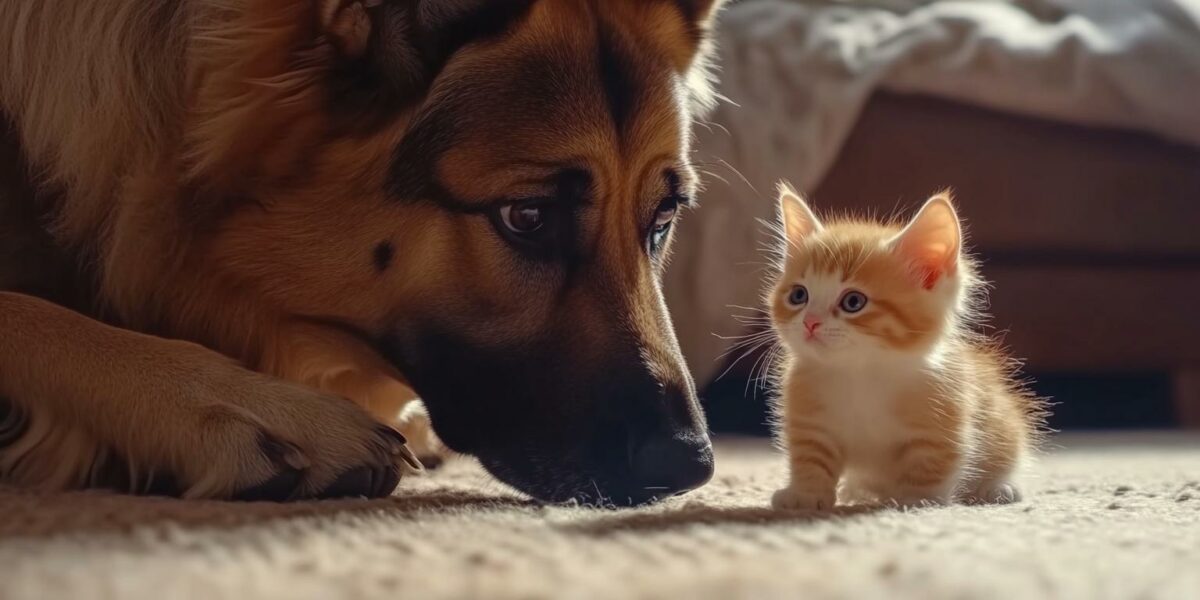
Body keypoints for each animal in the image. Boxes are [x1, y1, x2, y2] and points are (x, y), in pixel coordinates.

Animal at [768, 183, 1041, 511]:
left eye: (853, 302)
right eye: (799, 295)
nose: (810, 322)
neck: (860, 373)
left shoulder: (942, 414)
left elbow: (931, 461)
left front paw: (917, 500)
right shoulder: (809, 418)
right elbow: (810, 456)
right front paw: (806, 494)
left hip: (1003, 423)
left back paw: (999, 488)